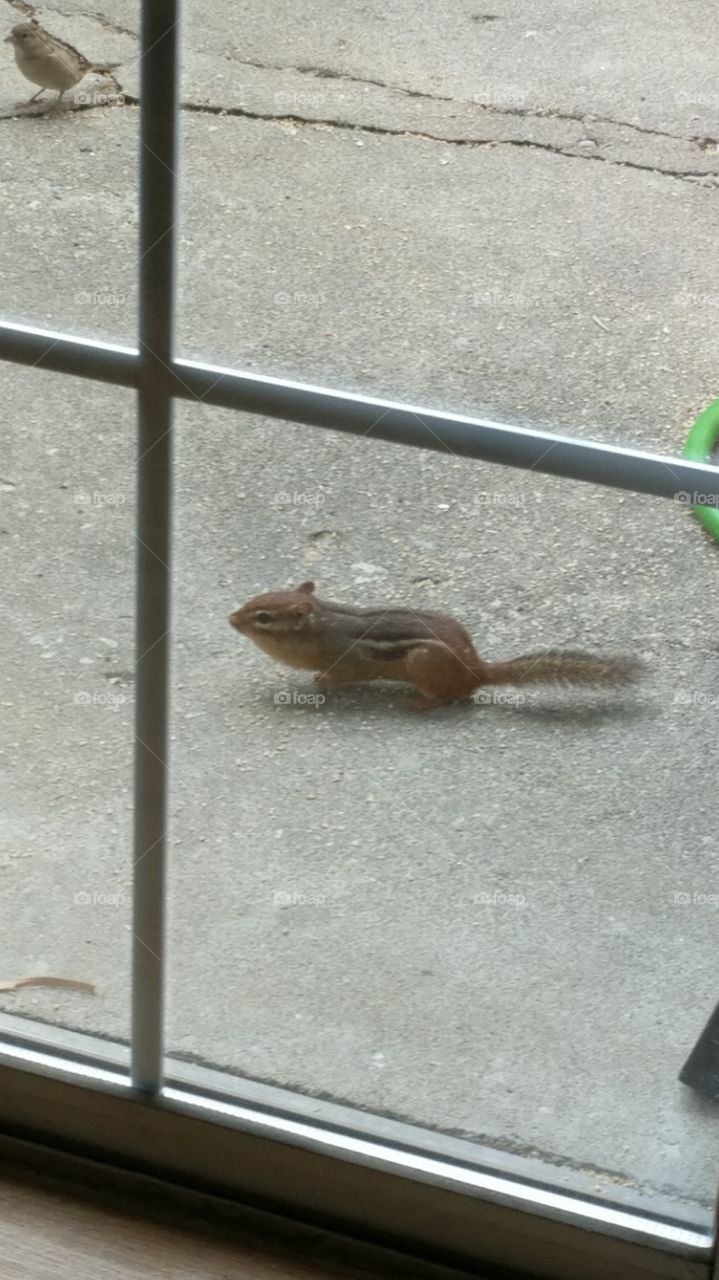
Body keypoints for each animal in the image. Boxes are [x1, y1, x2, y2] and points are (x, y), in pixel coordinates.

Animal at [229, 581, 643, 710]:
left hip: (421, 662)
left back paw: (419, 702)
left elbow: (344, 676)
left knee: (453, 696)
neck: (320, 627)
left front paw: (321, 682)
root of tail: (477, 669)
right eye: (252, 601)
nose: (230, 619)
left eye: (263, 617)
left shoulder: (349, 660)